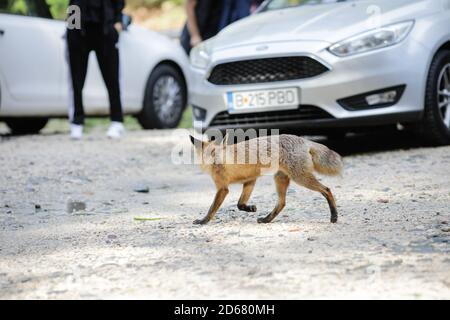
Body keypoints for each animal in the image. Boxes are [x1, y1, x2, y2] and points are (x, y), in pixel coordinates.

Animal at [191, 134, 344, 225]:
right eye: (210, 153)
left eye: (215, 153)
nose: (217, 161)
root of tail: (302, 139)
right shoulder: (250, 180)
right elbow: (240, 204)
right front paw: (250, 208)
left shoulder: (222, 188)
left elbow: (212, 208)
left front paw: (203, 221)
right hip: (280, 179)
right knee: (282, 203)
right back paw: (266, 219)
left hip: (300, 178)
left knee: (327, 190)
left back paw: (334, 216)